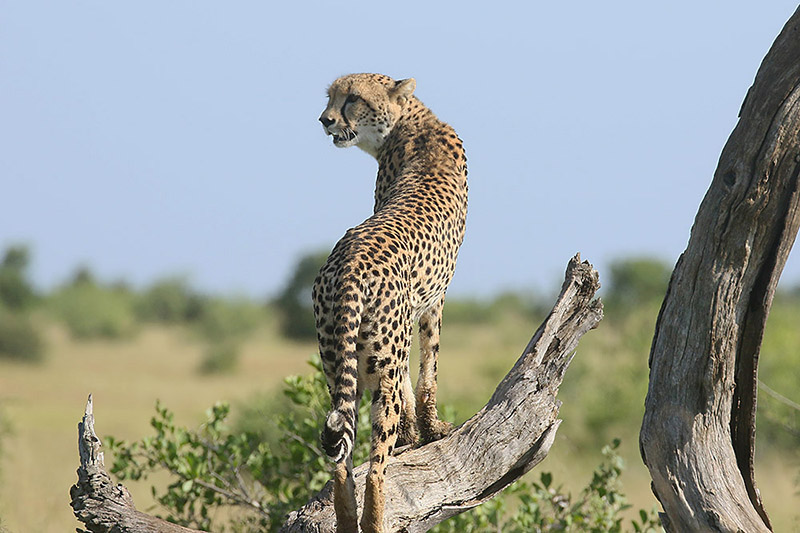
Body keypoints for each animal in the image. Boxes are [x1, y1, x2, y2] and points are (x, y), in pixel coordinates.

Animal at [312, 72, 466, 528]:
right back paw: (375, 519)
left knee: (341, 461)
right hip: (379, 361)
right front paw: (428, 431)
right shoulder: (433, 300)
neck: (414, 120)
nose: (325, 119)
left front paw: (416, 434)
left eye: (351, 98)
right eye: (332, 97)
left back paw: (347, 521)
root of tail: (348, 262)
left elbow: (413, 380)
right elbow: (427, 369)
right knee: (375, 467)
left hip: (336, 363)